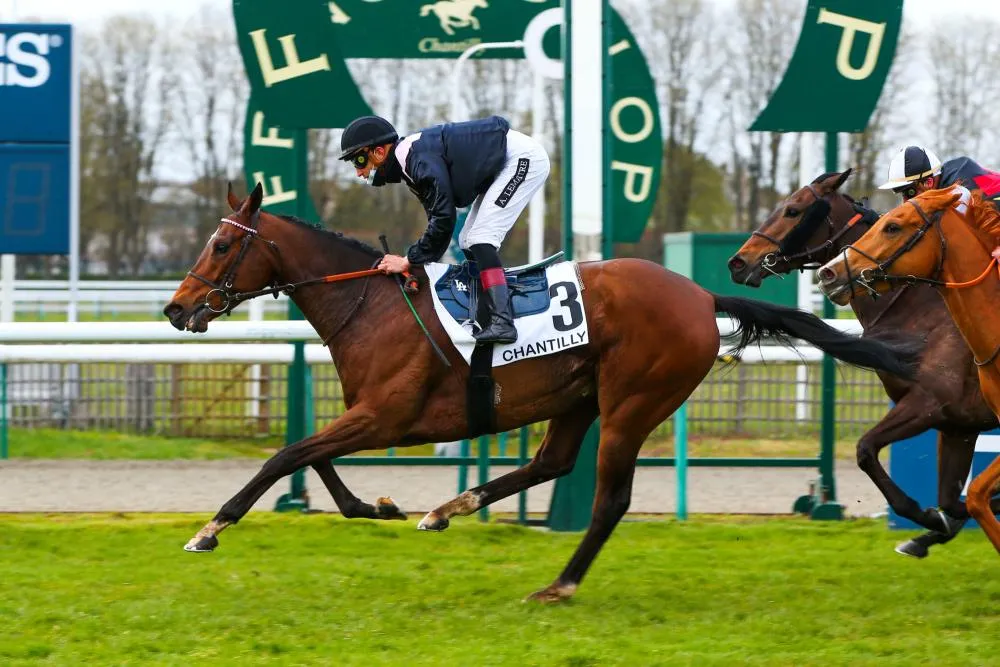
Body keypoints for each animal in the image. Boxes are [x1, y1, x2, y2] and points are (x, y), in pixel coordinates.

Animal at [816, 187, 1000, 552]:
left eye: (893, 227)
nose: (828, 273)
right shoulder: (957, 426)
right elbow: (962, 499)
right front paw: (933, 524)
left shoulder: (926, 404)